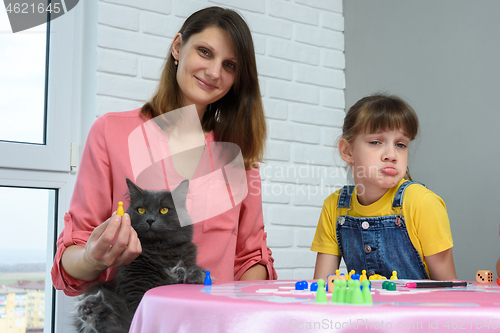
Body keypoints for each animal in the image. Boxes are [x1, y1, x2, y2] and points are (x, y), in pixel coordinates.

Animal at [73, 179, 203, 332]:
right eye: (141, 210)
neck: (158, 250)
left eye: (164, 210)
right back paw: (93, 309)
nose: (150, 220)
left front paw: (195, 275)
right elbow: (129, 319)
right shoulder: (136, 288)